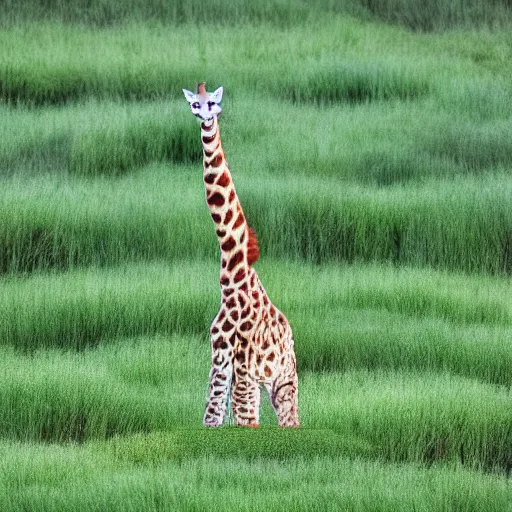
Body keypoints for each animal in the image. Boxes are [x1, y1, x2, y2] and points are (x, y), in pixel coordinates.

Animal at [183, 83, 300, 428]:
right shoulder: (221, 355)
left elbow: (242, 419)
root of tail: (290, 334)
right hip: (264, 380)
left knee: (291, 419)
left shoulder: (244, 362)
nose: (206, 118)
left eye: (214, 103)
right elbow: (212, 415)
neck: (233, 278)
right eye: (195, 104)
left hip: (284, 377)